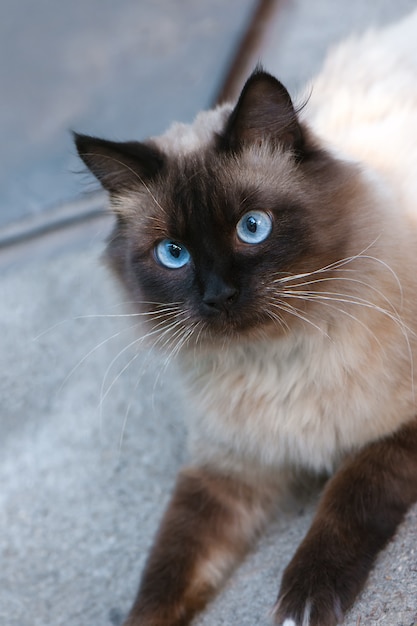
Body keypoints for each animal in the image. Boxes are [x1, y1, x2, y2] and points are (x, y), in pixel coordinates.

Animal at [73, 9, 416, 624]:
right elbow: (166, 569)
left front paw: (305, 600)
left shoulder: (394, 432)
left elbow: (347, 499)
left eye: (252, 227)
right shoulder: (223, 473)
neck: (275, 362)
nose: (219, 295)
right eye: (173, 254)